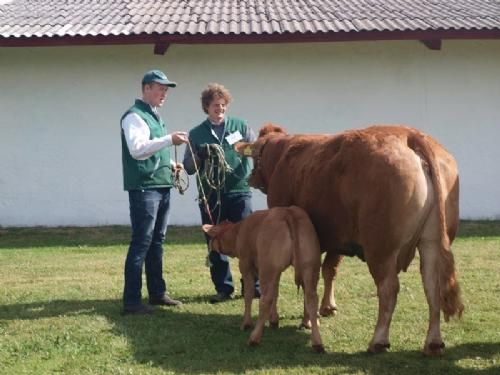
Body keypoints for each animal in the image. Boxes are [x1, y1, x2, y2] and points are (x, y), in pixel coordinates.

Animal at [202, 207, 324, 354]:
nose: (210, 247)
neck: (239, 231)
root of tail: (288, 211)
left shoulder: (246, 265)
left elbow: (249, 294)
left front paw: (246, 323)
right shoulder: (277, 272)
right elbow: (276, 292)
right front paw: (274, 320)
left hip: (267, 267)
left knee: (265, 300)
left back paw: (254, 338)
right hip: (309, 266)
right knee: (311, 298)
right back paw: (317, 343)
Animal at [236, 125, 462, 356]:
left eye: (255, 158)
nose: (250, 178)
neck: (281, 153)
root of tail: (408, 134)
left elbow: (299, 281)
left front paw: (298, 319)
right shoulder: (337, 237)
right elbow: (329, 270)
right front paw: (326, 308)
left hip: (380, 248)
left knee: (388, 289)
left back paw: (378, 341)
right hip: (431, 242)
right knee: (432, 286)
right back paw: (433, 343)